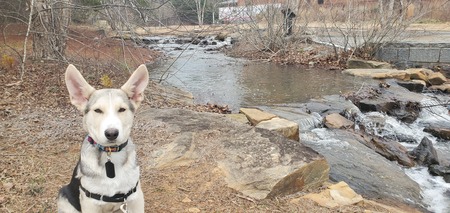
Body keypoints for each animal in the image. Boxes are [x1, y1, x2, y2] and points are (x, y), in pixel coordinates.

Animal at [57, 64, 149, 212]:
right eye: (98, 110)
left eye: (122, 109)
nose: (111, 133)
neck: (111, 155)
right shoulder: (90, 203)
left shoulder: (135, 198)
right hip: (64, 197)